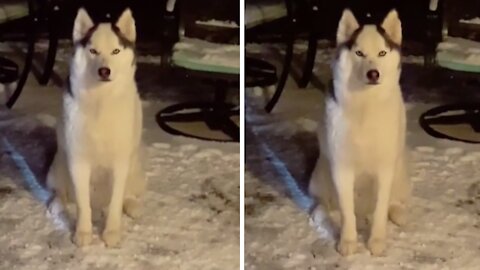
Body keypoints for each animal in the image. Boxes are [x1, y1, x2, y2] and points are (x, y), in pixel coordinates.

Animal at [48, 8, 146, 248]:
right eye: (93, 51)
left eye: (116, 50)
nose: (104, 71)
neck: (101, 101)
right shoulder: (78, 162)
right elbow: (83, 204)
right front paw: (83, 233)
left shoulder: (120, 163)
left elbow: (116, 201)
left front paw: (111, 232)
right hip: (59, 162)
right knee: (60, 190)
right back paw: (58, 203)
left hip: (135, 165)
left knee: (127, 193)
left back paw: (132, 205)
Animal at [310, 9, 410, 256]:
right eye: (359, 53)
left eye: (382, 52)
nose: (373, 73)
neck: (366, 106)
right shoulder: (342, 168)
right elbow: (347, 212)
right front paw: (347, 241)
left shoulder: (385, 168)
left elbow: (381, 206)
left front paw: (377, 240)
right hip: (321, 174)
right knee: (323, 206)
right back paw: (323, 214)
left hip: (399, 168)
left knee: (393, 200)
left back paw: (398, 212)